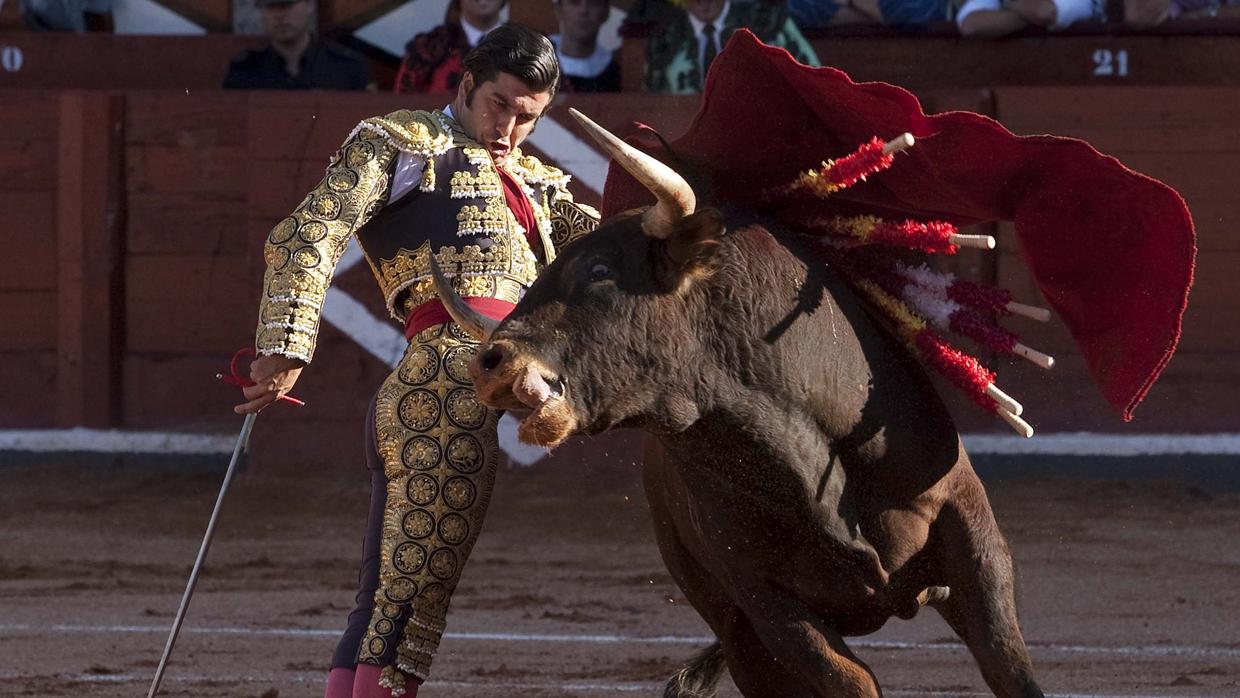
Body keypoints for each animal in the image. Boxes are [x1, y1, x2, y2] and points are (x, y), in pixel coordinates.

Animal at [436, 110, 1046, 698]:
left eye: (600, 270)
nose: (491, 363)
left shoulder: (971, 526)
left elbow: (1007, 663)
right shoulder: (760, 602)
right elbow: (850, 681)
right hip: (736, 632)